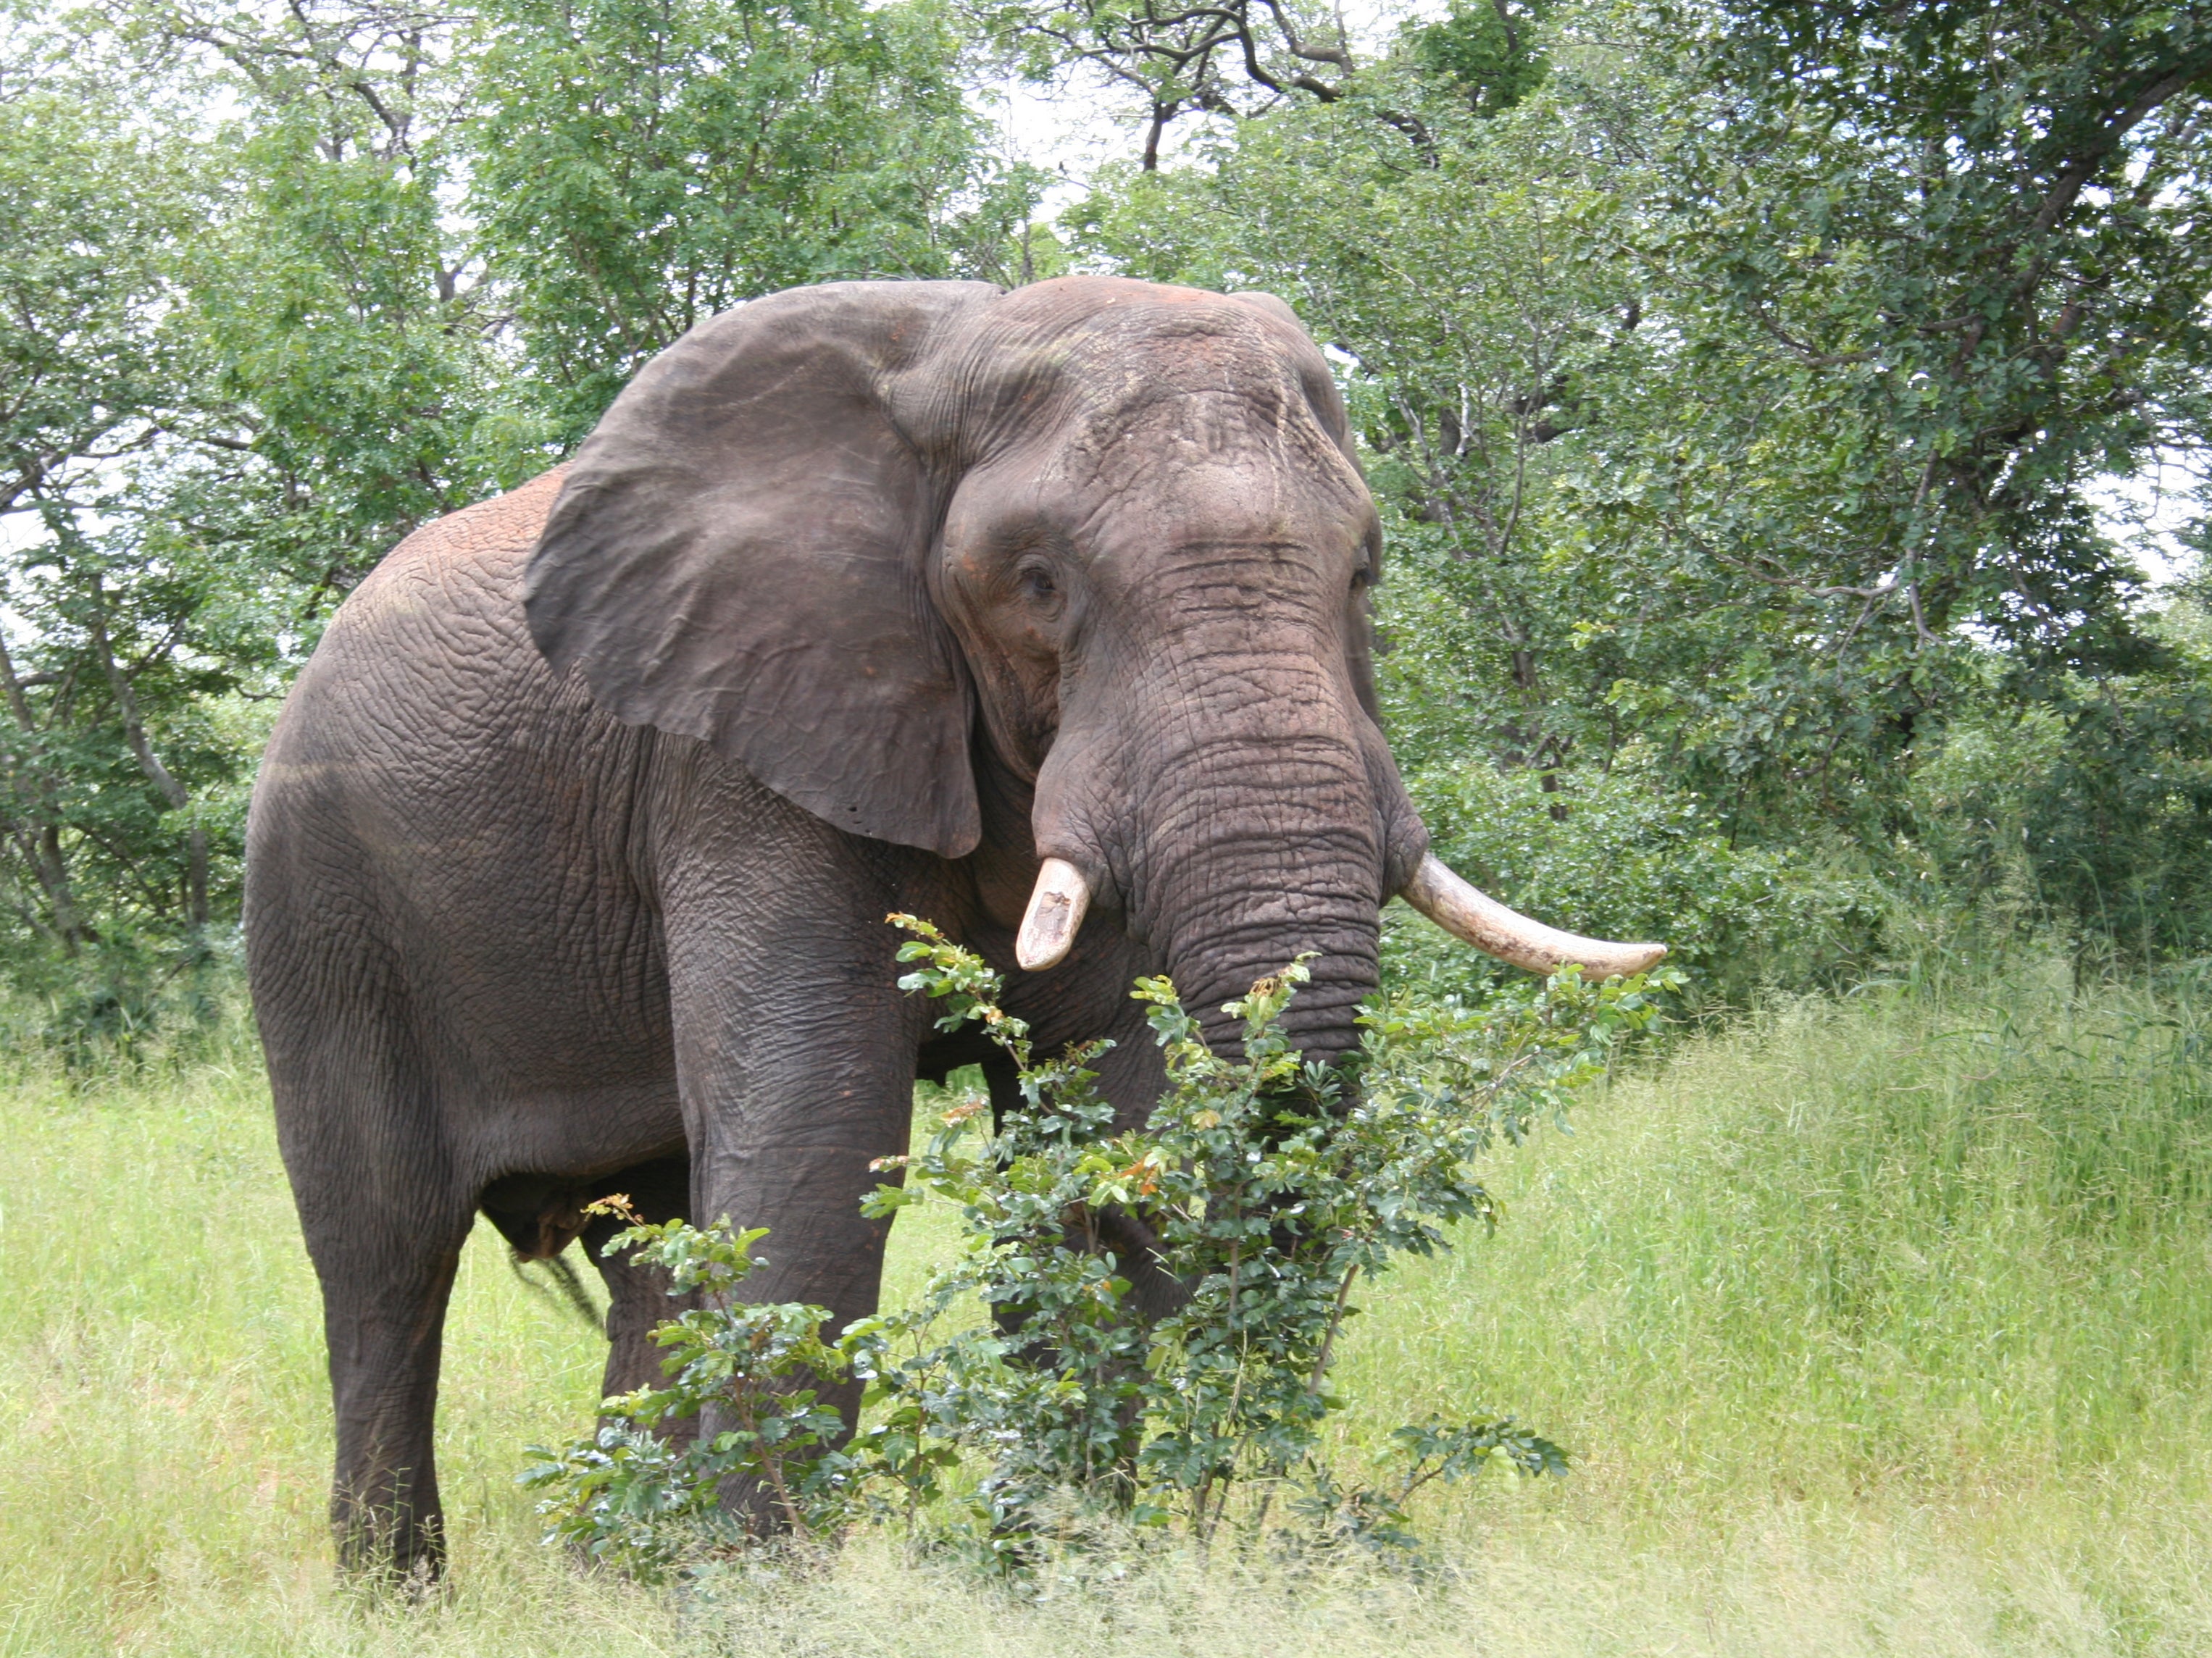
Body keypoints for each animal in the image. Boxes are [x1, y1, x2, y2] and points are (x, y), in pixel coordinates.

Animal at [242, 276, 1663, 1583]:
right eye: (1038, 582)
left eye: (1362, 569)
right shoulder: (743, 751)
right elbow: (814, 1140)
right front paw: (773, 1603)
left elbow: (1103, 1105)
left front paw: (1062, 1564)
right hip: (321, 908)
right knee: (385, 1265)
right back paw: (402, 1594)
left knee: (648, 1249)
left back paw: (622, 1575)